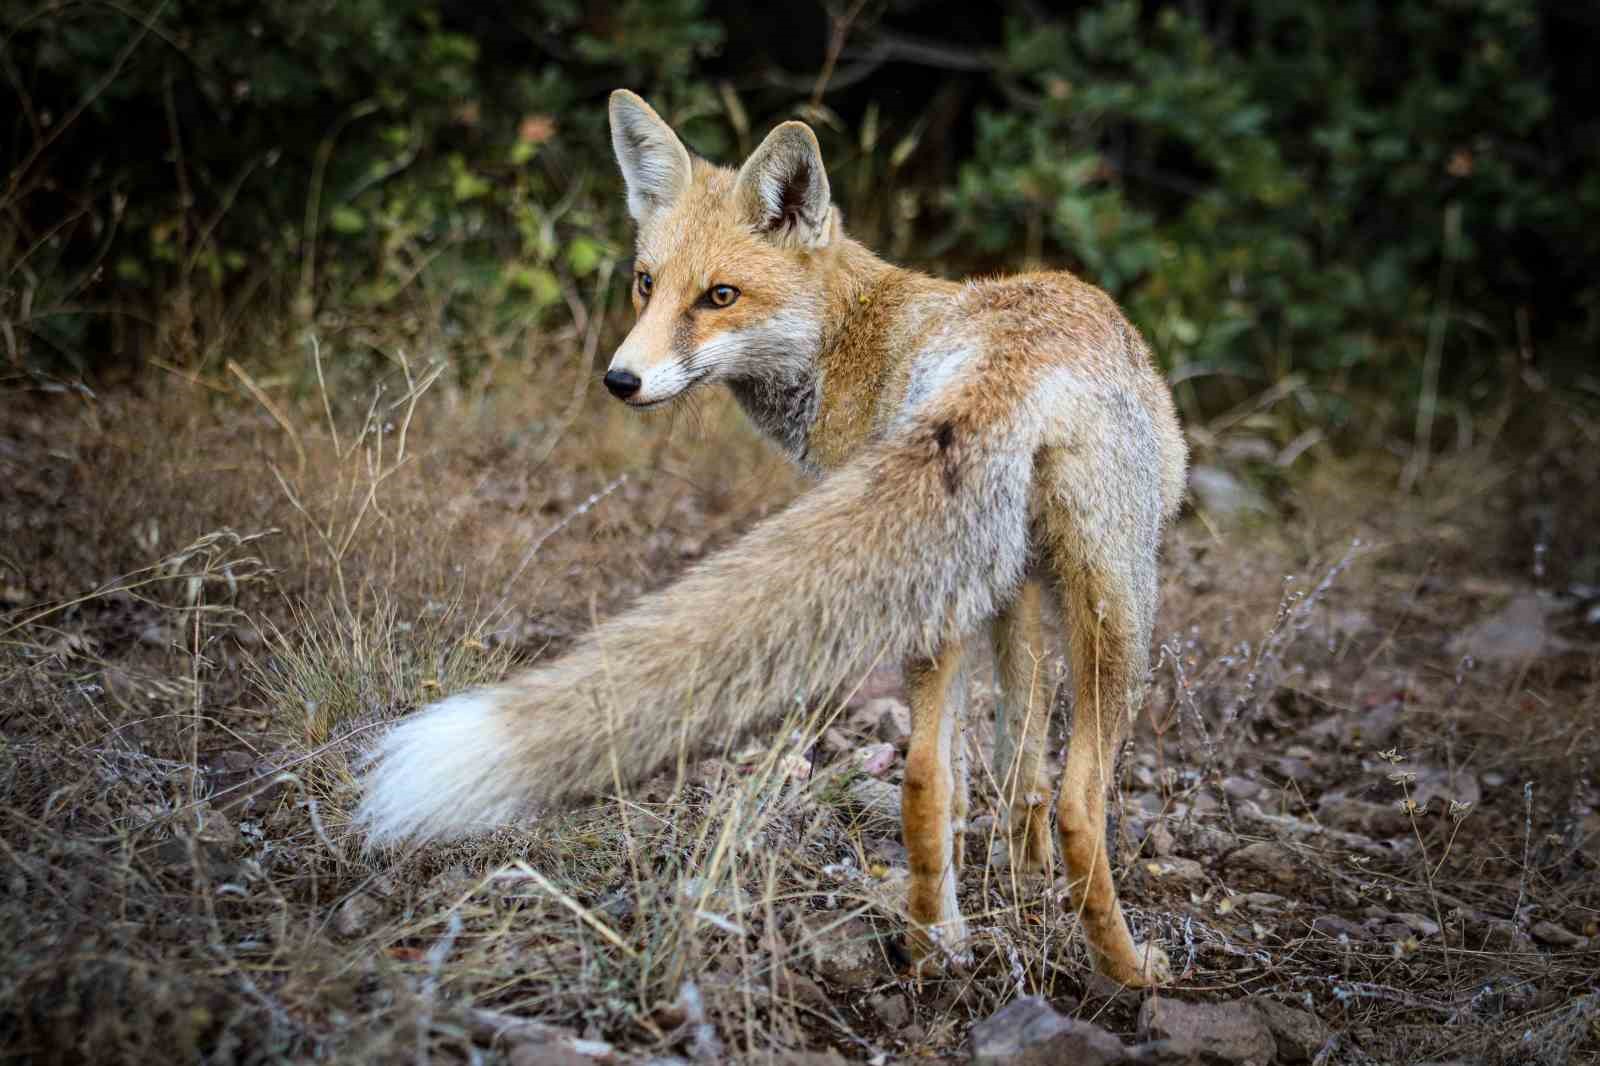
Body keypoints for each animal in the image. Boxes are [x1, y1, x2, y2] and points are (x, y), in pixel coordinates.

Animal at [360, 87, 1190, 985]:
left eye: (719, 296)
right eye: (646, 284)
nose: (620, 380)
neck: (853, 343)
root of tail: (1004, 364)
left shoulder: (1010, 584)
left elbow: (1018, 754)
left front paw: (1021, 867)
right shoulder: (1022, 585)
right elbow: (1033, 762)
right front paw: (1038, 880)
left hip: (951, 598)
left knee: (926, 778)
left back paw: (934, 947)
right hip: (1121, 609)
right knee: (1079, 802)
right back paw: (1128, 969)